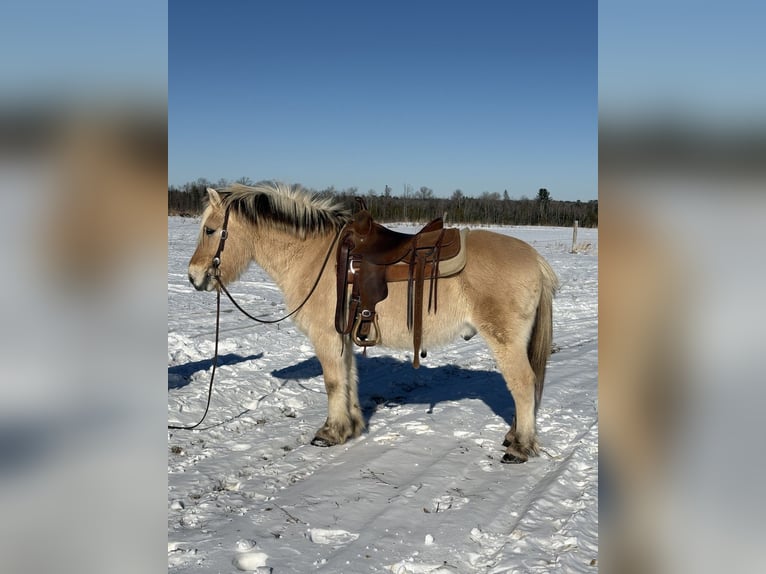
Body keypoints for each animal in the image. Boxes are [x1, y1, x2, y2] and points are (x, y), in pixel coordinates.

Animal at [188, 182, 559, 463]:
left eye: (210, 230)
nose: (193, 277)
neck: (314, 257)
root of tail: (535, 259)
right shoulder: (344, 336)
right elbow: (349, 378)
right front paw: (351, 426)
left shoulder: (327, 336)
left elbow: (333, 382)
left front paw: (330, 432)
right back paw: (514, 436)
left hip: (505, 340)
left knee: (523, 384)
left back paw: (519, 447)